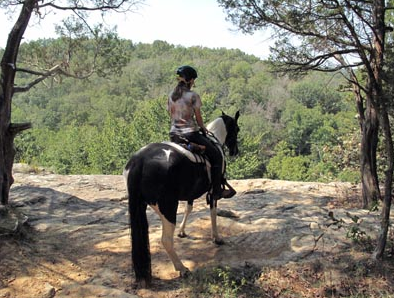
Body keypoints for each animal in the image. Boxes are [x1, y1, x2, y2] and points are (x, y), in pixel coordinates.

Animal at [123, 110, 240, 288]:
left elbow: (189, 208)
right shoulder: (213, 191)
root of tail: (139, 161)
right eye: (237, 129)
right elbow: (213, 212)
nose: (235, 151)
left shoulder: (191, 193)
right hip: (168, 207)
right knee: (166, 240)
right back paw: (182, 268)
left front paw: (182, 232)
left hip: (142, 206)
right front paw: (216, 237)